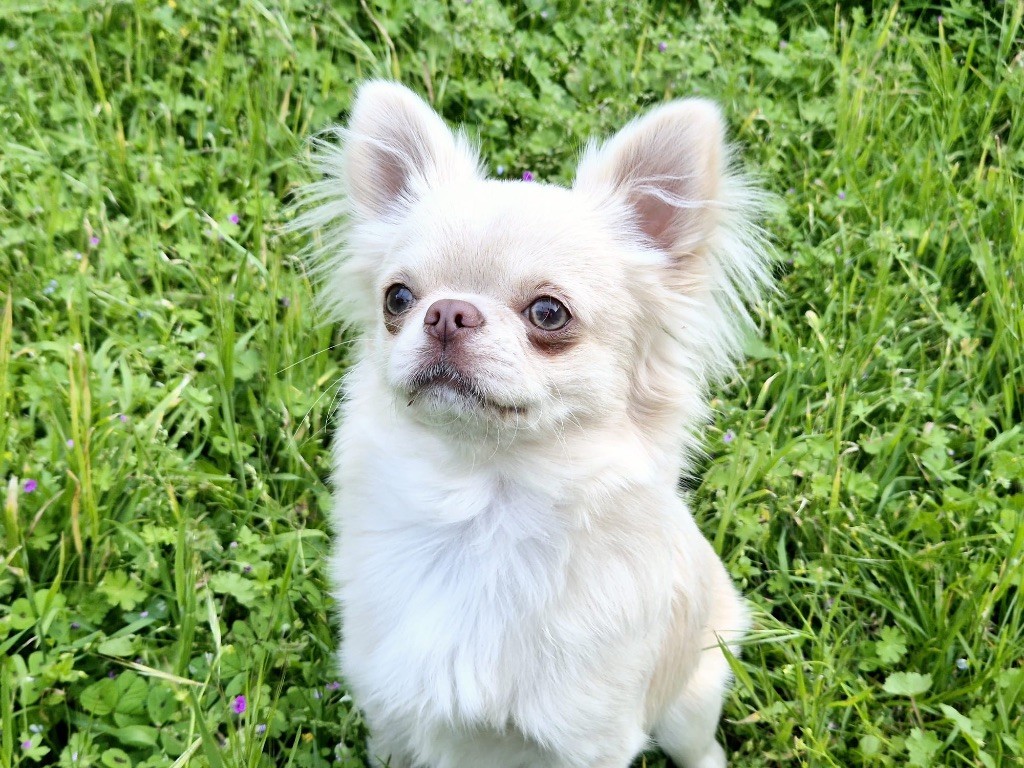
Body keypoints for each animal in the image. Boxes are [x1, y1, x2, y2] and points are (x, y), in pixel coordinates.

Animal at [299, 82, 770, 768]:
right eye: (398, 299)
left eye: (549, 313)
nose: (447, 312)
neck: (484, 507)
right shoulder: (390, 715)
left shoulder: (589, 741)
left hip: (690, 700)